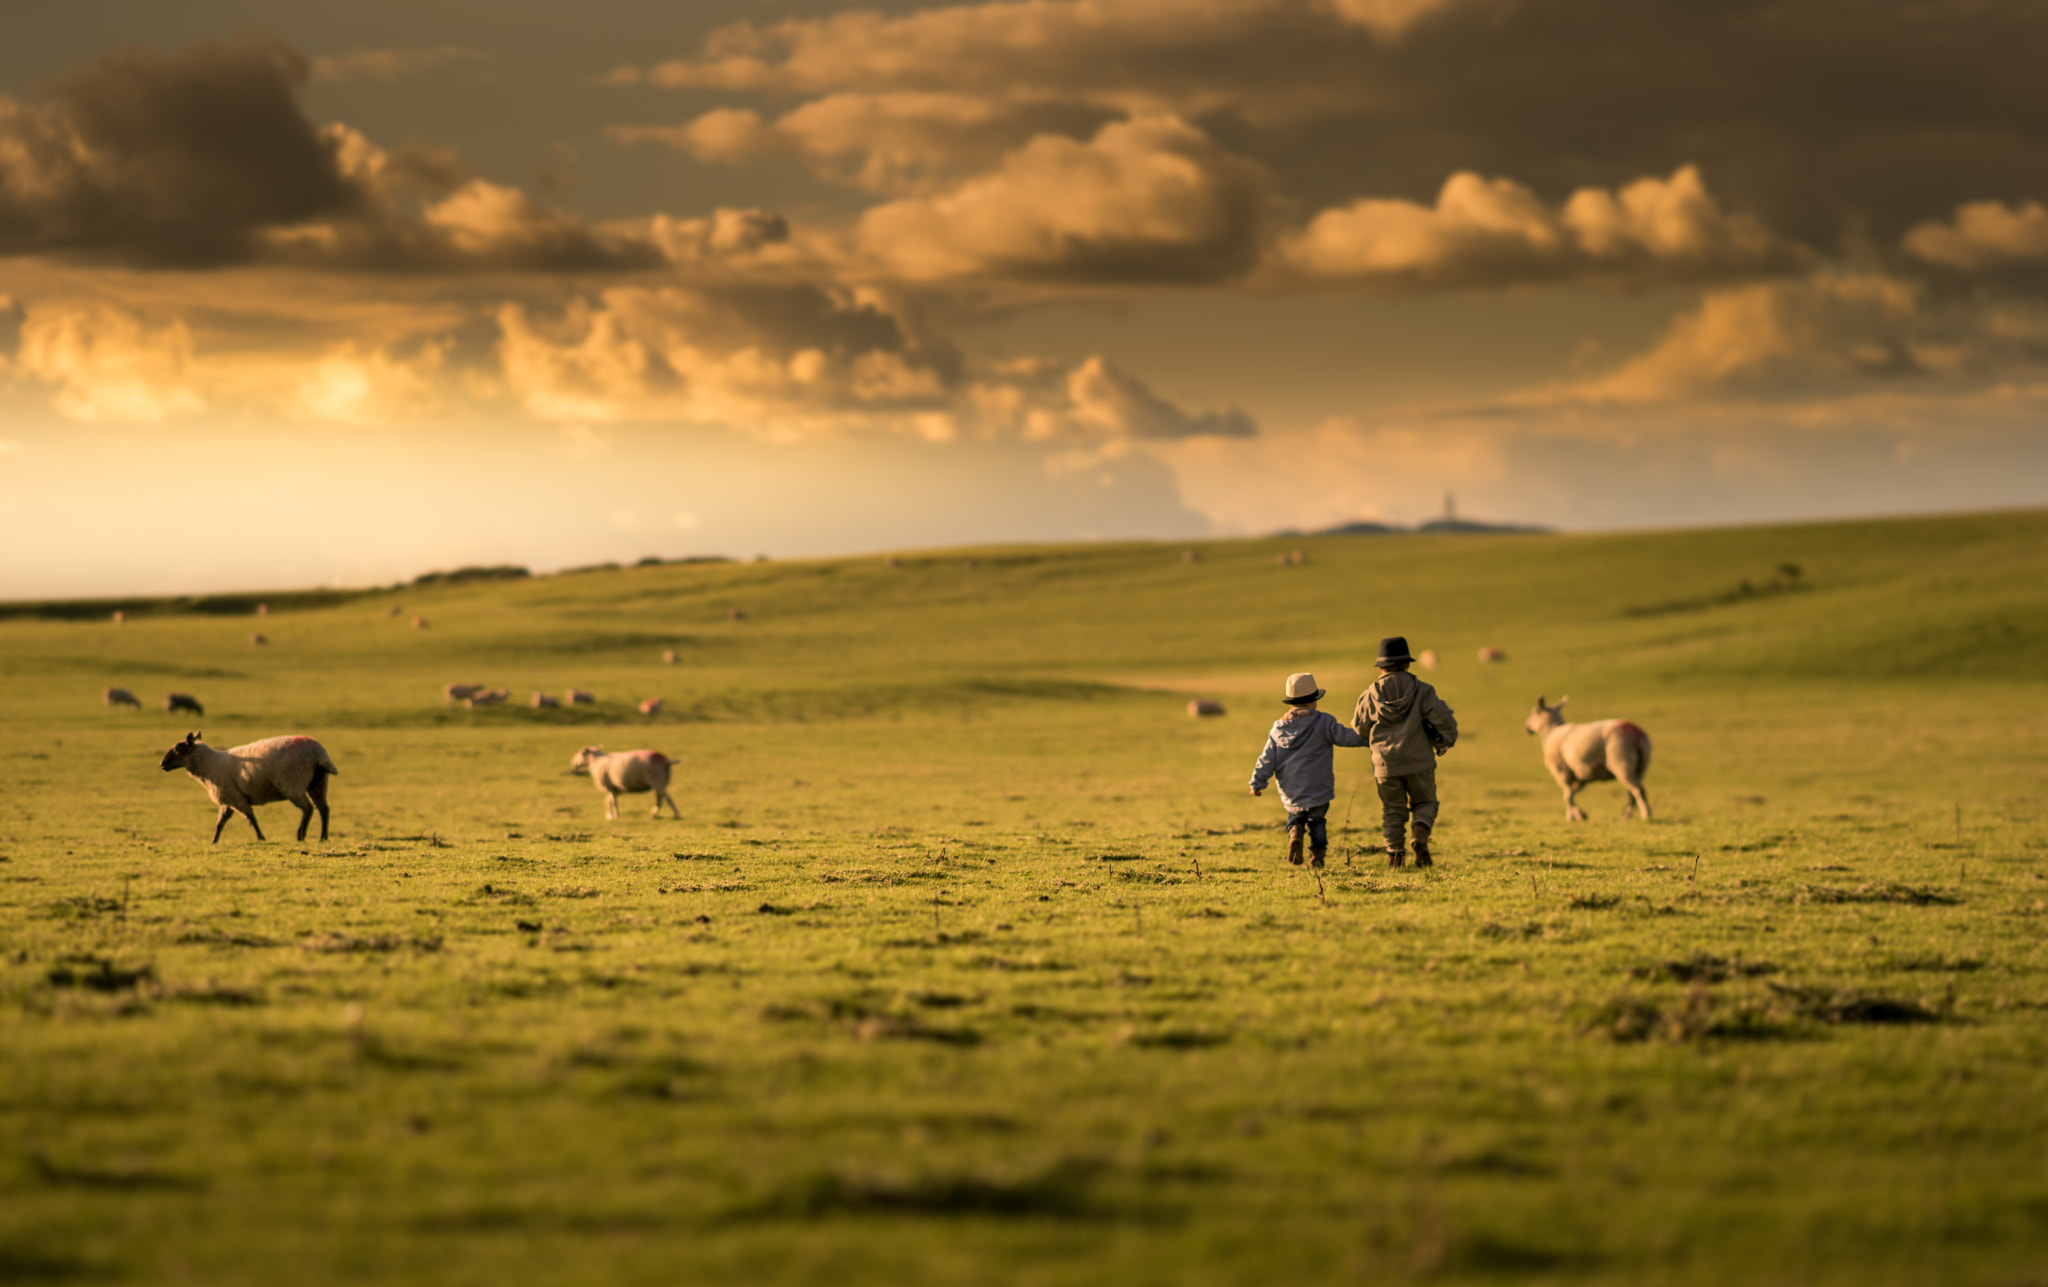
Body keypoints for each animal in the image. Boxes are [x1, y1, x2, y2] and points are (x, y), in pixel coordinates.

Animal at [157, 733, 337, 844]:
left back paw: (301, 834)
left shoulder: (236, 798)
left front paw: (261, 837)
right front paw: (214, 841)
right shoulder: (228, 798)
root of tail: (319, 752)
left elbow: (251, 819)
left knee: (308, 808)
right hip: (318, 782)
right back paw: (323, 837)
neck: (209, 765)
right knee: (323, 809)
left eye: (177, 750)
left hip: (292, 783)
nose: (162, 764)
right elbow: (220, 823)